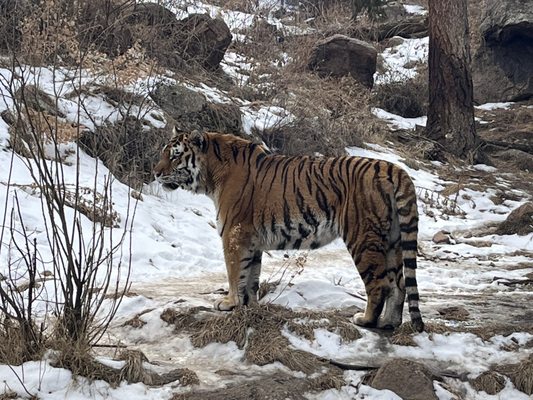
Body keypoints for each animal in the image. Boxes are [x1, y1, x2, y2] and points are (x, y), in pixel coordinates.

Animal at [154, 130, 424, 332]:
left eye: (175, 156)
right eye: (163, 153)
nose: (155, 173)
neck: (211, 173)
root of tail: (395, 169)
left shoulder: (234, 233)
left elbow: (234, 273)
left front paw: (229, 303)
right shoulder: (252, 240)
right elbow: (251, 276)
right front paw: (250, 305)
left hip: (363, 237)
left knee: (379, 284)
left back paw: (366, 320)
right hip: (392, 240)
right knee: (399, 284)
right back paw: (389, 322)